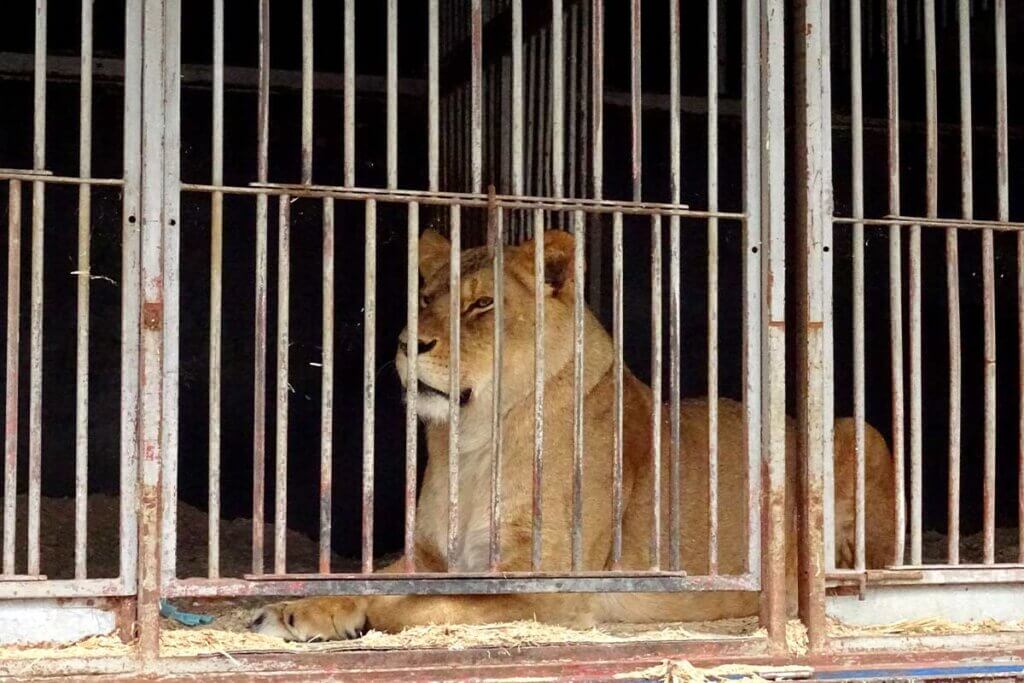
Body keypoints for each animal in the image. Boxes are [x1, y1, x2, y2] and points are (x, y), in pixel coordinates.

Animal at [249, 229, 897, 643]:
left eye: (483, 304)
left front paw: (362, 615)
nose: (410, 343)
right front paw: (292, 611)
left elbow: (416, 609)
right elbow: (372, 579)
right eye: (426, 298)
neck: (473, 444)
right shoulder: (431, 554)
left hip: (855, 429)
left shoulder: (550, 589)